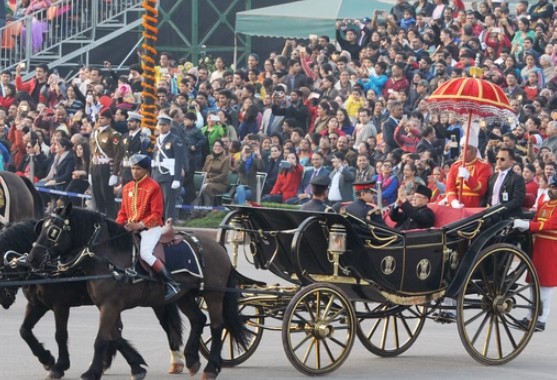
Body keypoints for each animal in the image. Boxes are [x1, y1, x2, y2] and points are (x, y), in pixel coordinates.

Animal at [0, 220, 186, 380]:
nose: (4, 300)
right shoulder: (36, 304)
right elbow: (24, 331)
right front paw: (47, 359)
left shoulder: (61, 305)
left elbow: (61, 334)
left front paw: (58, 365)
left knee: (167, 325)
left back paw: (177, 360)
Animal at [27, 205, 249, 380]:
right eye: (40, 228)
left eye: (53, 231)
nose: (32, 258)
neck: (108, 258)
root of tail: (218, 246)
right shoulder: (105, 306)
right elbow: (113, 336)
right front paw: (135, 366)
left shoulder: (108, 306)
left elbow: (100, 339)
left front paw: (91, 371)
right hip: (184, 296)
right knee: (198, 320)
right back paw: (192, 359)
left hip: (213, 295)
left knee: (217, 326)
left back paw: (211, 367)